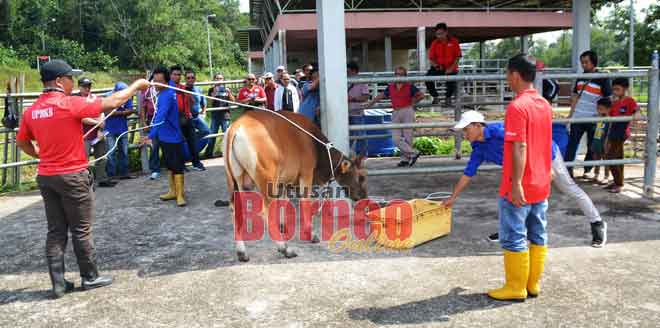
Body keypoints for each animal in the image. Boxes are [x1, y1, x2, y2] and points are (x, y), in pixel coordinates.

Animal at [222, 110, 366, 262]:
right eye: (361, 177)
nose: (363, 196)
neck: (314, 143)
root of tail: (235, 128)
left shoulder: (285, 183)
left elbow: (284, 202)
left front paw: (283, 226)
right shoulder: (306, 174)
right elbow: (305, 202)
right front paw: (310, 234)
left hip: (237, 184)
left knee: (236, 210)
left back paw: (242, 252)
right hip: (267, 182)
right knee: (265, 212)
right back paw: (285, 248)